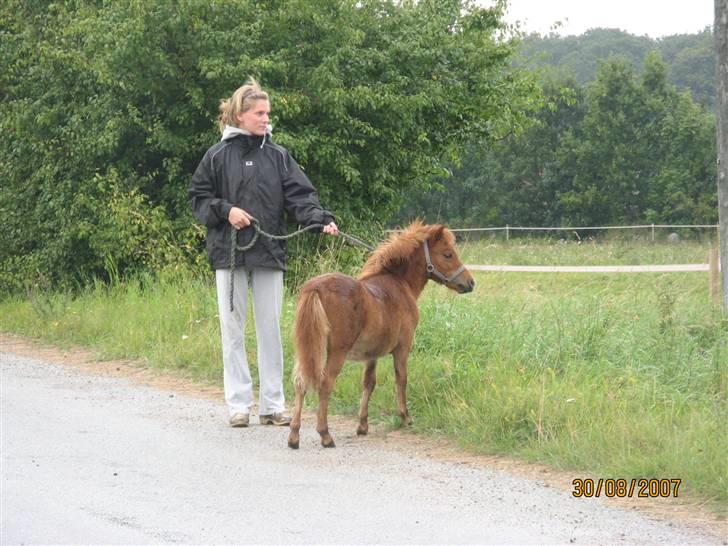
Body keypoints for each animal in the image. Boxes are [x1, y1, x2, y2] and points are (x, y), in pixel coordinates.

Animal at [288, 219, 474, 448]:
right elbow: (401, 378)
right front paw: (405, 417)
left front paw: (362, 425)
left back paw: (294, 435)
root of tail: (315, 288)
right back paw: (325, 435)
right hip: (335, 351)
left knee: (300, 382)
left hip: (307, 347)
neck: (398, 283)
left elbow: (368, 383)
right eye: (448, 254)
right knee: (325, 384)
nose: (470, 283)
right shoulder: (403, 347)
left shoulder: (372, 354)